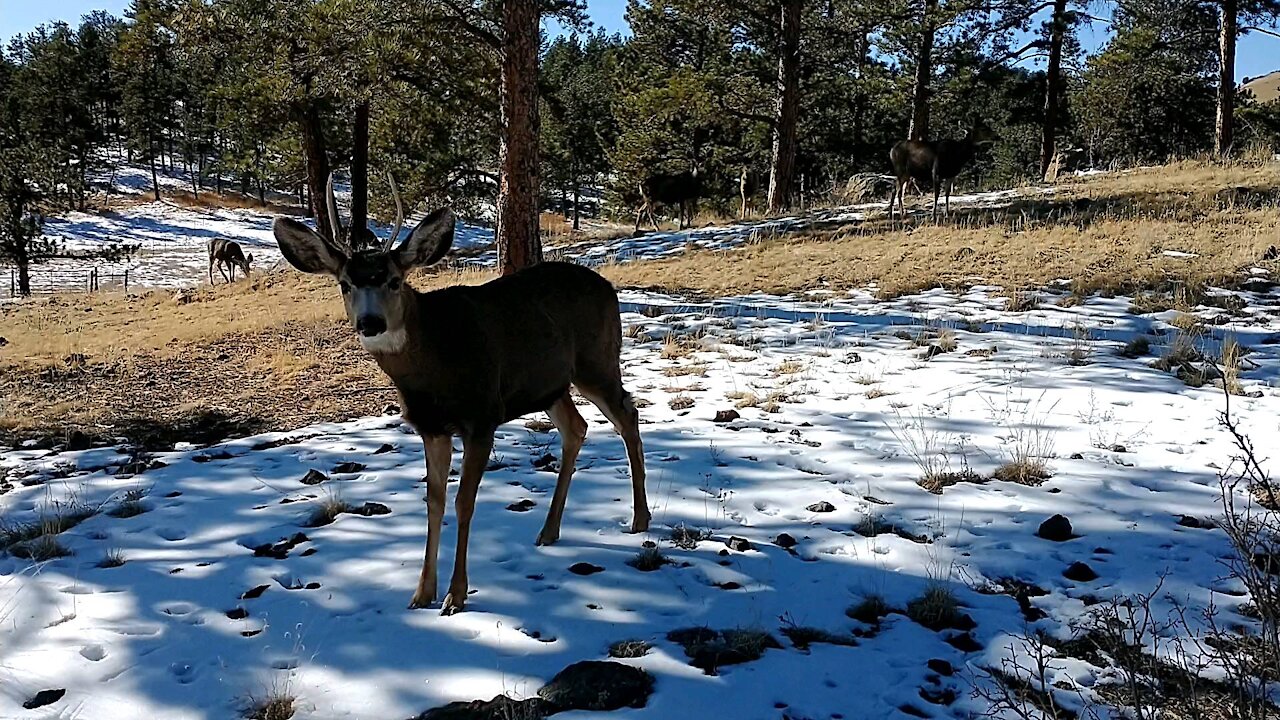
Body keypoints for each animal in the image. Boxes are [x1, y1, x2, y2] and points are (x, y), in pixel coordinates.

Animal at [270, 172, 650, 609]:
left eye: (394, 281)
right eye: (346, 284)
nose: (370, 322)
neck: (433, 370)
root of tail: (607, 286)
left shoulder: (482, 416)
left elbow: (464, 501)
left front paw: (456, 594)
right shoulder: (431, 427)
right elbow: (434, 502)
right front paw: (422, 592)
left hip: (597, 361)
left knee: (627, 415)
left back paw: (640, 519)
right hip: (550, 386)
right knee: (577, 428)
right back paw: (549, 530)